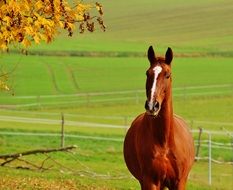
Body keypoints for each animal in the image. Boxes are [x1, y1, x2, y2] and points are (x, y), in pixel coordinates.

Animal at [124, 45, 195, 189]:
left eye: (168, 75)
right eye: (147, 73)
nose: (152, 105)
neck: (164, 143)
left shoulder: (179, 182)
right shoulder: (150, 181)